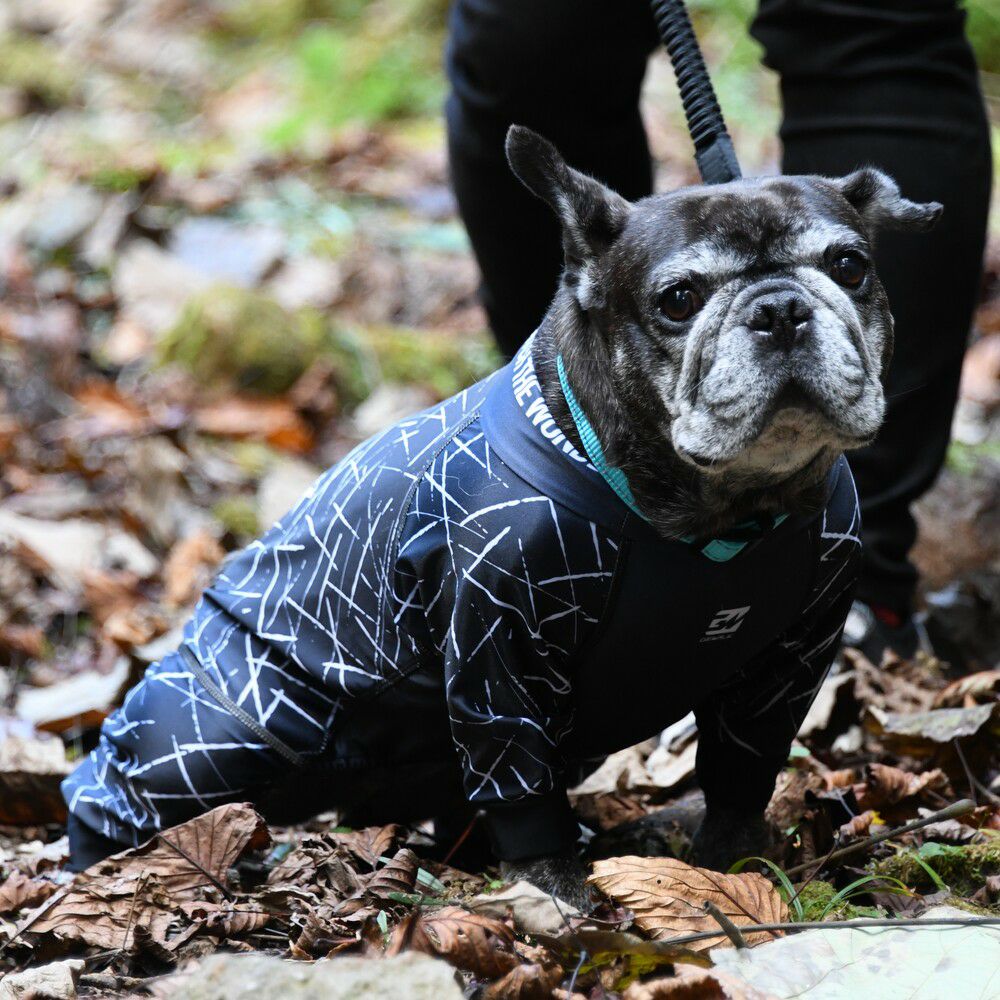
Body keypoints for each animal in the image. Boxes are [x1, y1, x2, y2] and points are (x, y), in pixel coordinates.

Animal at [63, 126, 940, 908]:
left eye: (850, 265)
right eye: (679, 299)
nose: (781, 309)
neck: (718, 512)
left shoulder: (792, 660)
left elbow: (742, 768)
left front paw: (735, 864)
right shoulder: (499, 653)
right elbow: (517, 775)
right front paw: (556, 890)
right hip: (218, 736)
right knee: (125, 786)